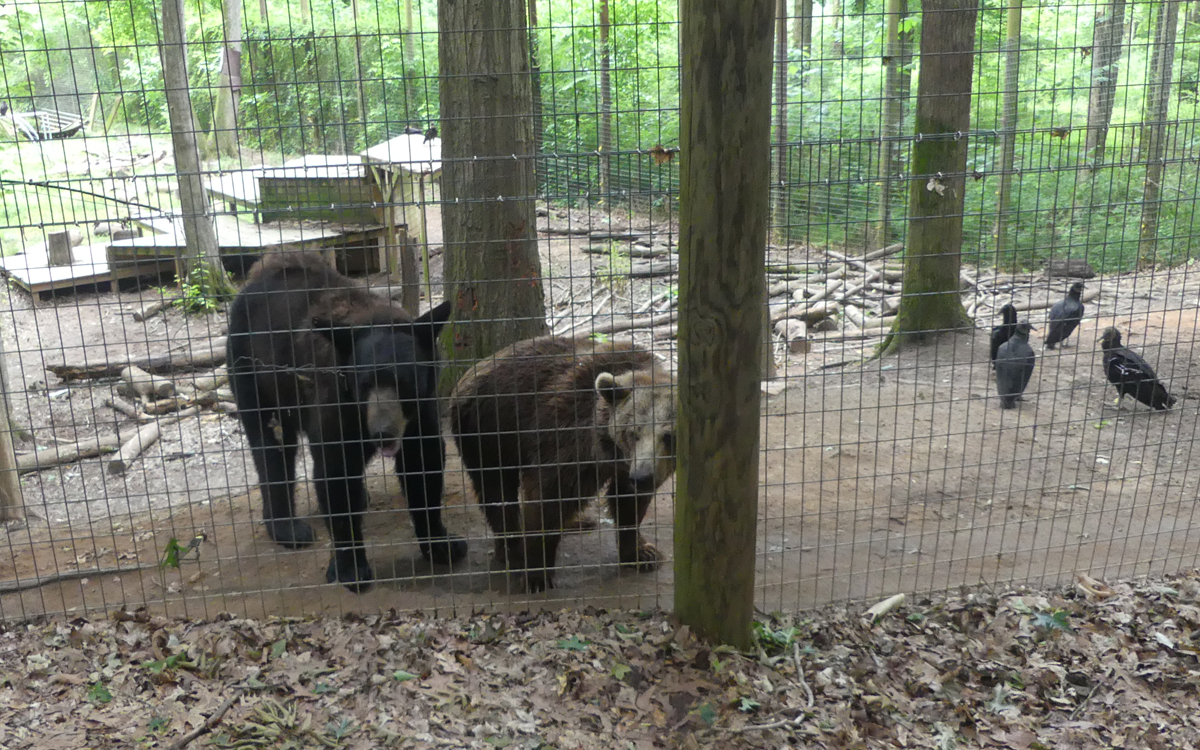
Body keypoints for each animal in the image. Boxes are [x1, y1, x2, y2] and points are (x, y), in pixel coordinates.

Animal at [226, 252, 465, 590]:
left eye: (405, 381)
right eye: (364, 383)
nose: (381, 432)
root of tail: (261, 271)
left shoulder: (420, 412)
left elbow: (423, 465)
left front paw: (443, 543)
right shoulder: (335, 405)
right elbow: (335, 473)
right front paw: (351, 568)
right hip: (255, 372)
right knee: (271, 445)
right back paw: (288, 527)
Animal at [448, 336, 676, 590]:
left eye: (668, 436)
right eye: (632, 432)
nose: (642, 477)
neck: (610, 451)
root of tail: (473, 369)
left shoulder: (628, 465)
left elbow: (629, 503)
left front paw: (642, 553)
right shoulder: (567, 437)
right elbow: (549, 496)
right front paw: (536, 574)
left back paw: (578, 522)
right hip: (488, 431)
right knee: (496, 491)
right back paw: (512, 548)